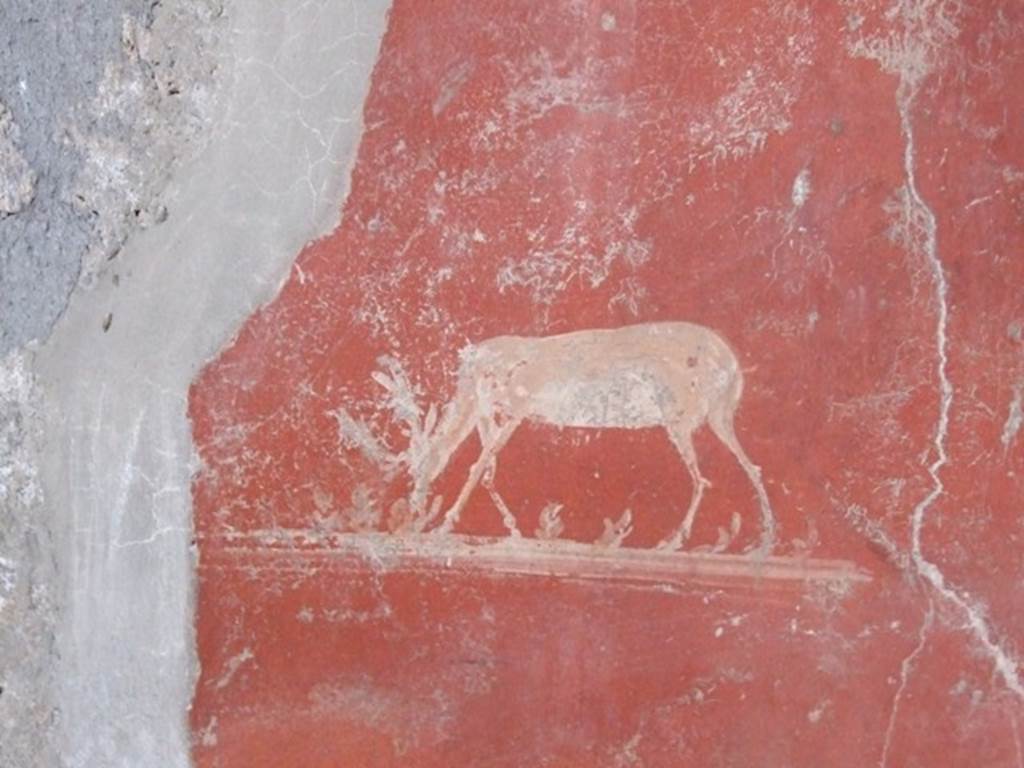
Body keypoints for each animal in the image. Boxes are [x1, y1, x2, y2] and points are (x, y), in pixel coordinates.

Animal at [407, 321, 776, 554]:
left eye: (418, 466)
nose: (413, 510)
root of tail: (731, 365)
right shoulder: (493, 414)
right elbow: (487, 471)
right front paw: (514, 530)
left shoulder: (513, 413)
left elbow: (476, 467)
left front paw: (443, 527)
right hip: (715, 419)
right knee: (747, 468)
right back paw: (764, 542)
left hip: (682, 423)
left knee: (703, 478)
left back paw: (677, 543)